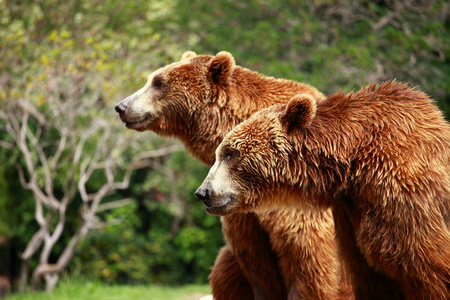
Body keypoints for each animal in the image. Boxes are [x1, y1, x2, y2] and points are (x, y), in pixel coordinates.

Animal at [113, 52, 352, 300]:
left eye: (158, 82)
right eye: (152, 79)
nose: (121, 106)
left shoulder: (297, 199)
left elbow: (308, 257)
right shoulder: (241, 215)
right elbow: (256, 265)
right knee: (223, 272)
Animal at [197, 81, 450, 298]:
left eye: (229, 153)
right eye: (221, 152)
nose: (203, 192)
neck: (350, 166)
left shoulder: (405, 198)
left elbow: (429, 271)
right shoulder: (351, 217)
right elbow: (373, 279)